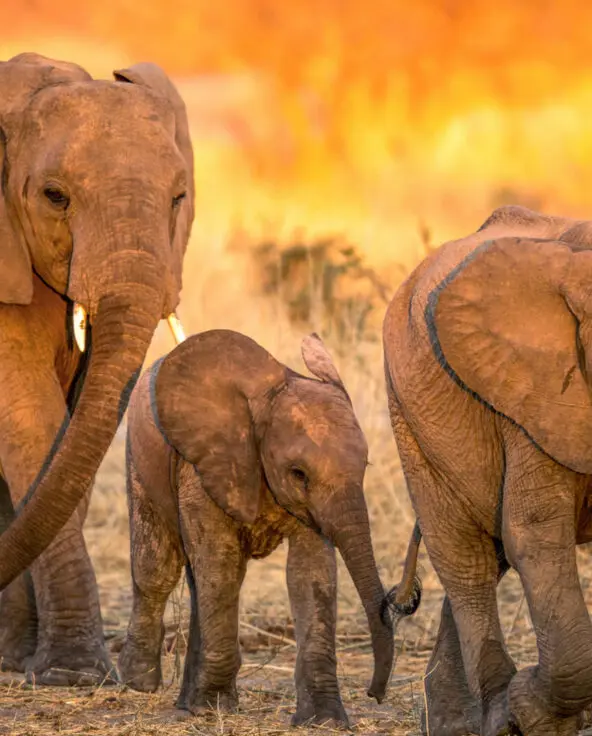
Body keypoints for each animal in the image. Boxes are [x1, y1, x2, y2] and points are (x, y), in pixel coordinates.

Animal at [0, 52, 194, 686]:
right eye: (54, 196)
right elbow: (29, 421)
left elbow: (73, 430)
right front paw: (73, 675)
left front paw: (41, 665)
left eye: (179, 197)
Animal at [117, 329, 399, 728]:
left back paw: (188, 702)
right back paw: (140, 681)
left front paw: (325, 721)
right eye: (299, 473)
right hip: (139, 458)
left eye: (365, 465)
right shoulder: (204, 464)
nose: (374, 694)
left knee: (198, 579)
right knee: (158, 565)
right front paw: (215, 706)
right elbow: (219, 562)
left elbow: (310, 574)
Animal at [382, 204, 592, 735]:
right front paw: (535, 714)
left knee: (486, 551)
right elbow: (534, 533)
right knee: (466, 559)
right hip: (410, 416)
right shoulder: (531, 395)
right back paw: (494, 718)